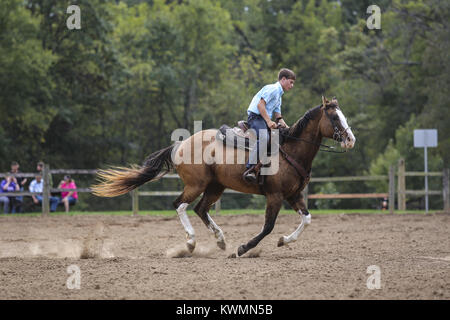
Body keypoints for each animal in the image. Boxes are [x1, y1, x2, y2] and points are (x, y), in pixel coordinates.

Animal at [91, 95, 356, 258]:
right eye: (335, 117)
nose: (351, 139)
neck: (291, 151)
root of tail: (180, 144)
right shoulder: (275, 196)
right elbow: (268, 226)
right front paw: (244, 248)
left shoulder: (294, 195)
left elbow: (307, 219)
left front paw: (284, 240)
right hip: (196, 184)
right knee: (180, 205)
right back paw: (191, 242)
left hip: (215, 187)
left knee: (200, 209)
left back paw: (220, 239)